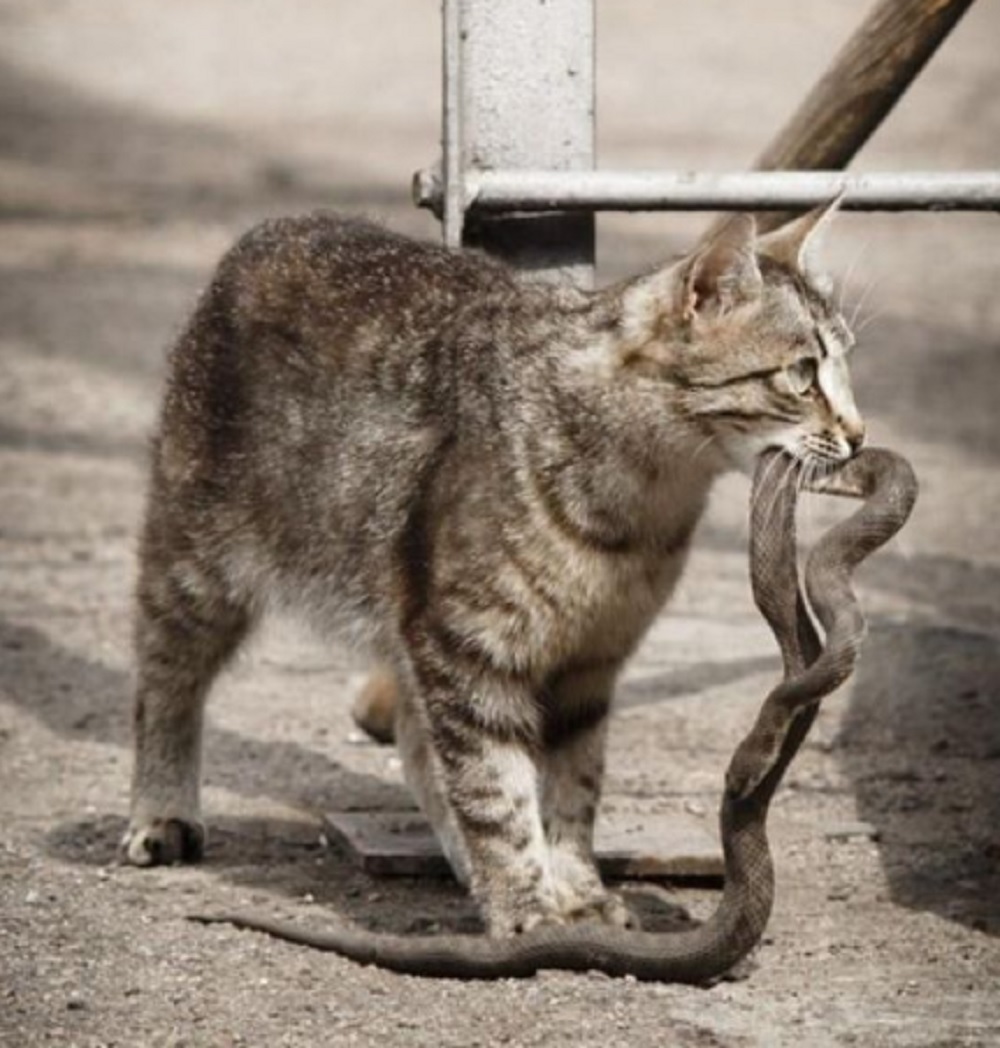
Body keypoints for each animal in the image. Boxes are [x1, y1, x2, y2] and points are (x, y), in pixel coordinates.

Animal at [121, 204, 859, 934]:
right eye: (801, 374)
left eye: (845, 367)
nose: (858, 435)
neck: (644, 503)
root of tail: (275, 227)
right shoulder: (470, 644)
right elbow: (495, 787)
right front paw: (525, 910)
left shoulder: (588, 663)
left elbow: (571, 789)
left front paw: (573, 888)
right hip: (196, 561)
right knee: (166, 681)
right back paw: (161, 811)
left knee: (416, 740)